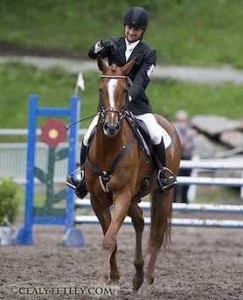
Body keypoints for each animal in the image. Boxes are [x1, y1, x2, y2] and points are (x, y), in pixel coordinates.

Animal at [84, 55, 181, 290]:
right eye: (101, 89)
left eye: (124, 90)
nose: (110, 127)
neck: (109, 148)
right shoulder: (98, 200)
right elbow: (111, 237)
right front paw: (114, 276)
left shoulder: (122, 195)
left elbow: (109, 239)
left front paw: (104, 279)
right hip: (135, 196)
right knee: (139, 221)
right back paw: (137, 275)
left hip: (162, 193)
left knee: (156, 234)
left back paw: (147, 278)